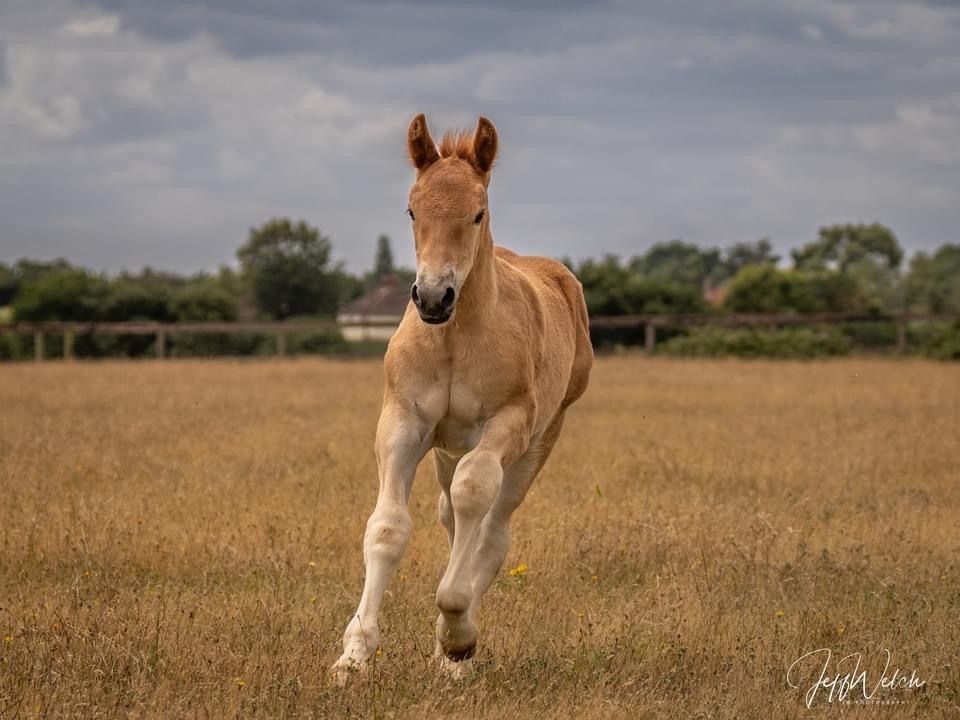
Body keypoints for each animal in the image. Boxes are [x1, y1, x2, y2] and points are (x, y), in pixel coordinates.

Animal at [333, 113, 593, 681]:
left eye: (478, 213)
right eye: (412, 210)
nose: (434, 297)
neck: (453, 338)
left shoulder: (508, 424)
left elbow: (476, 499)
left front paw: (457, 635)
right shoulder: (402, 424)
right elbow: (387, 528)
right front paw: (354, 655)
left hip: (540, 439)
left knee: (491, 531)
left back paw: (454, 650)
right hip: (446, 449)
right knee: (453, 518)